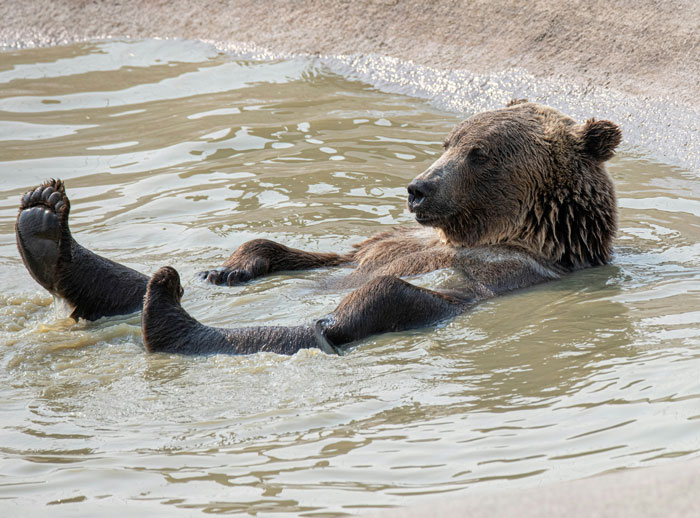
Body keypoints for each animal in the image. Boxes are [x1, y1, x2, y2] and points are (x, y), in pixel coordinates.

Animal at [15, 101, 622, 355]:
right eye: (448, 141)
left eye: (480, 153)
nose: (418, 188)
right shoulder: (384, 241)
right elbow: (305, 251)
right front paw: (230, 268)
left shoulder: (506, 274)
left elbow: (405, 288)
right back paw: (44, 222)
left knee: (353, 311)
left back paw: (169, 317)